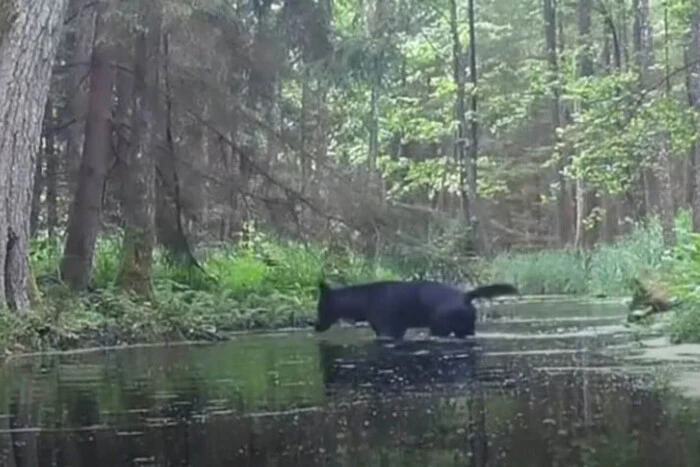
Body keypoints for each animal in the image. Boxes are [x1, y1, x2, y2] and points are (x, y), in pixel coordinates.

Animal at [314, 280, 516, 338]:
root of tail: (465, 295)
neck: (362, 301)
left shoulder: (388, 330)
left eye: (319, 307)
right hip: (467, 328)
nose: (314, 326)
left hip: (439, 326)